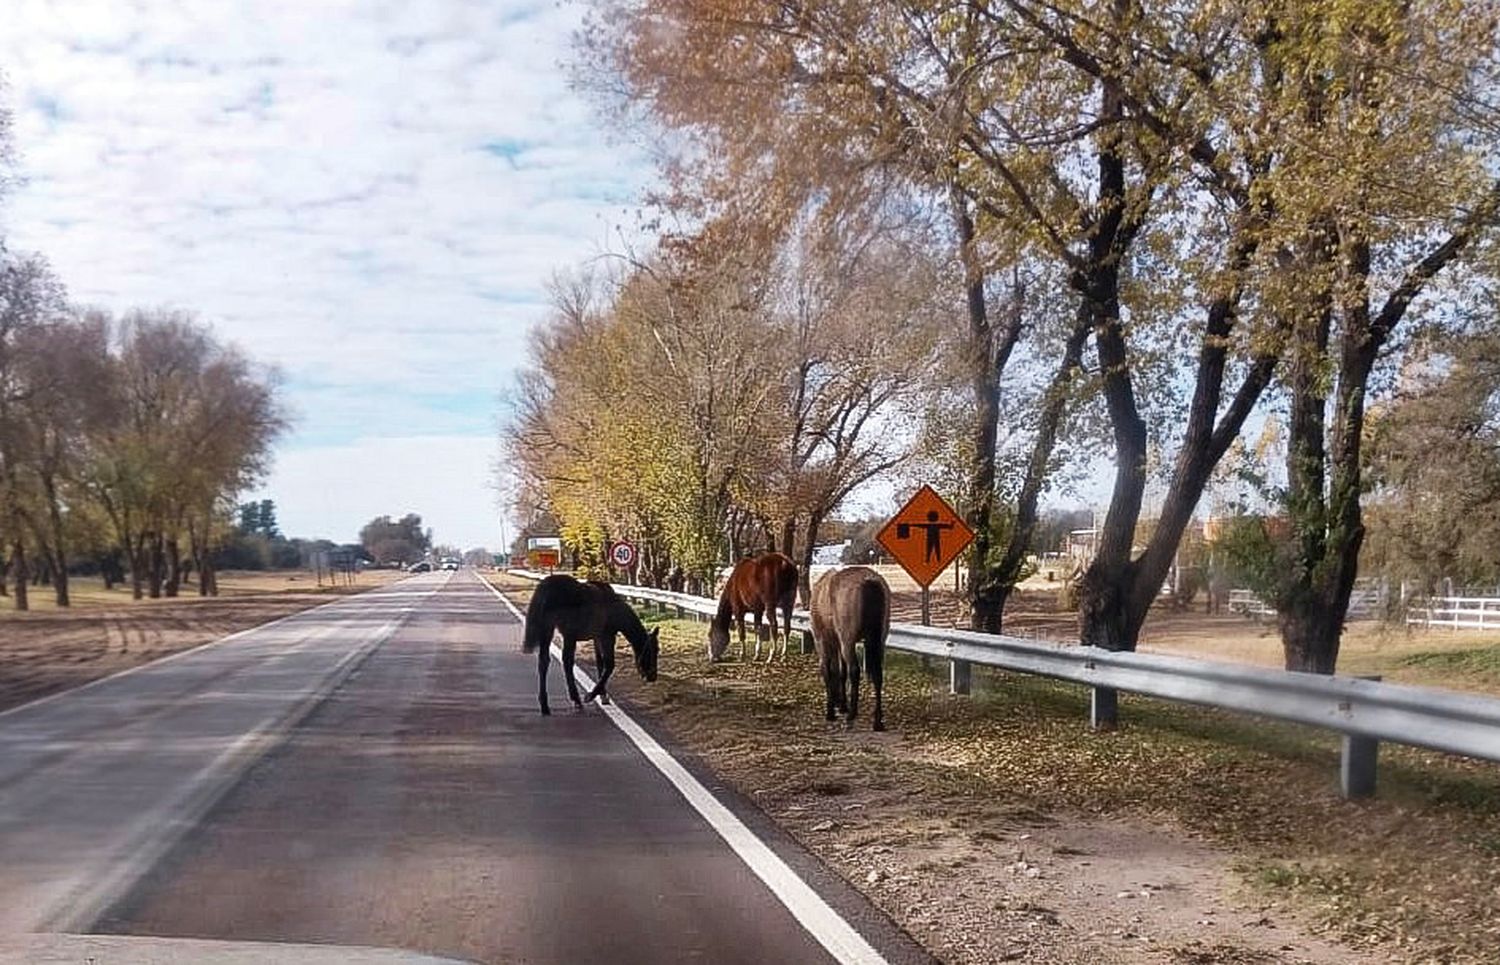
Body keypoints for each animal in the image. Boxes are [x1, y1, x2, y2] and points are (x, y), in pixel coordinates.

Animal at [522, 573, 657, 717]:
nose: (653, 676)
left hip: (548, 630)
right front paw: (591, 695)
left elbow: (600, 663)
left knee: (544, 661)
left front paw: (603, 695)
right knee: (566, 661)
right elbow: (609, 665)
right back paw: (576, 700)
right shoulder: (607, 636)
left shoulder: (596, 638)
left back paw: (545, 705)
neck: (614, 608)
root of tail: (546, 587)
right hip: (568, 634)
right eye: (652, 651)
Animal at [810, 567, 888, 732]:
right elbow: (841, 672)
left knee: (855, 670)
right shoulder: (839, 644)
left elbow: (828, 671)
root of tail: (869, 581)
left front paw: (831, 712)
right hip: (879, 641)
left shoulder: (822, 641)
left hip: (848, 641)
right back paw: (877, 721)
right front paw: (842, 705)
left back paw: (852, 713)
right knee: (877, 675)